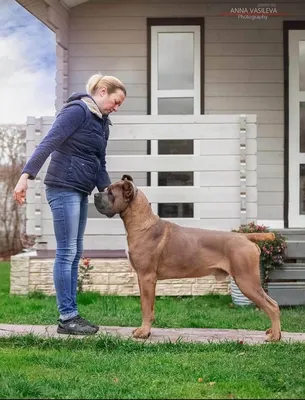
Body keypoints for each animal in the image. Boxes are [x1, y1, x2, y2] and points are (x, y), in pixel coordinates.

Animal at [93, 174, 280, 340]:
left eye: (111, 193)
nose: (95, 194)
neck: (141, 222)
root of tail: (245, 237)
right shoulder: (143, 279)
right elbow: (148, 307)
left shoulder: (146, 277)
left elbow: (146, 307)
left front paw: (144, 332)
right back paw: (272, 332)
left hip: (246, 281)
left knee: (272, 306)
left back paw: (275, 336)